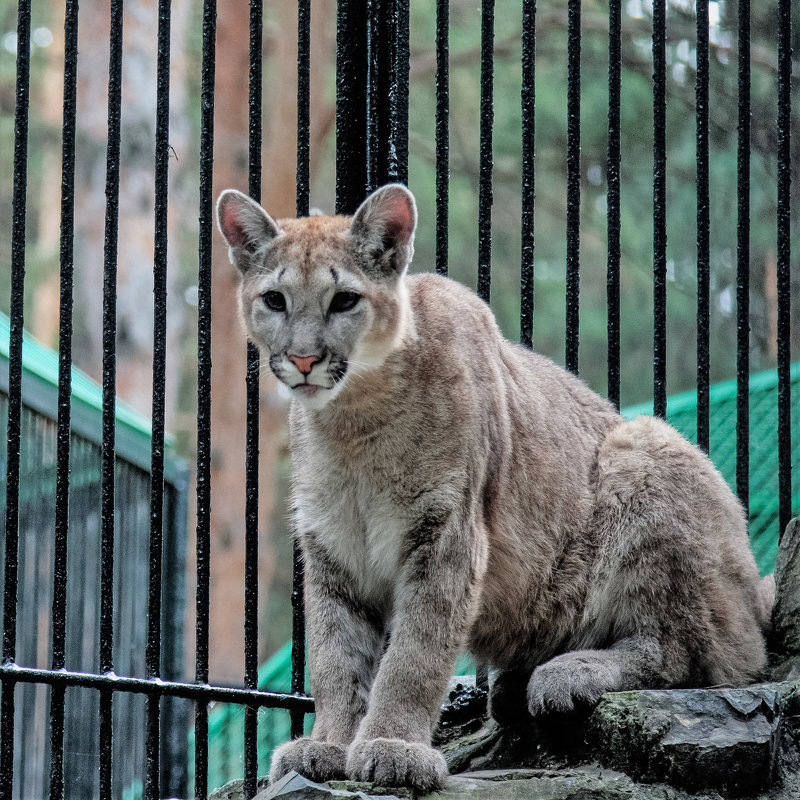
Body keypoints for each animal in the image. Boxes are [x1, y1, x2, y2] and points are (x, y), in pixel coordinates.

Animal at [216, 183, 772, 792]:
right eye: (274, 300)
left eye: (344, 301)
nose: (303, 359)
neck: (354, 420)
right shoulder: (332, 547)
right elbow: (336, 657)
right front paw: (329, 745)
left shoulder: (445, 533)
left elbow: (415, 653)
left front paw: (393, 746)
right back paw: (513, 686)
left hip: (645, 448)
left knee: (694, 651)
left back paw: (568, 672)